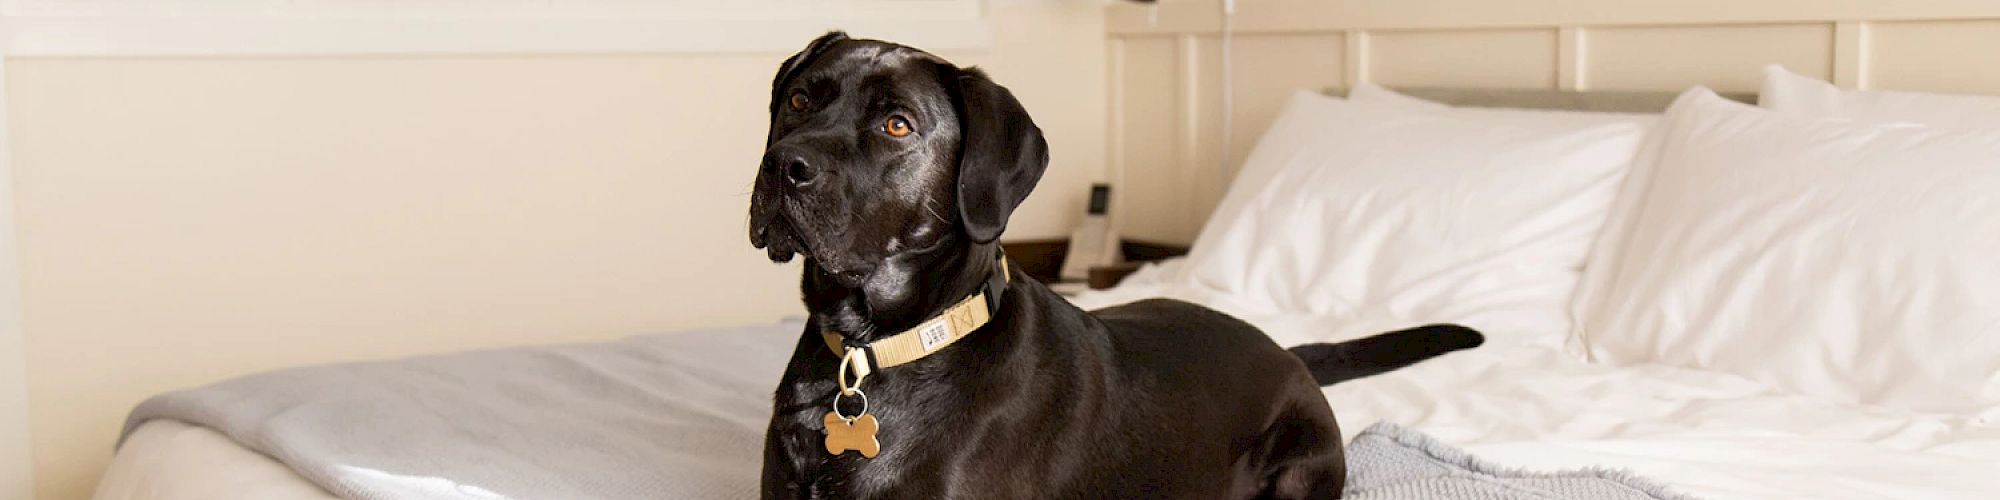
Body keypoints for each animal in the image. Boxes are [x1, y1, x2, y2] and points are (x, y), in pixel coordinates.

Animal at [752, 33, 1488, 498]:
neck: (875, 349)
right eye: (800, 100)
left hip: (1303, 463)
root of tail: (1285, 349)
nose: (784, 165)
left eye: (897, 125)